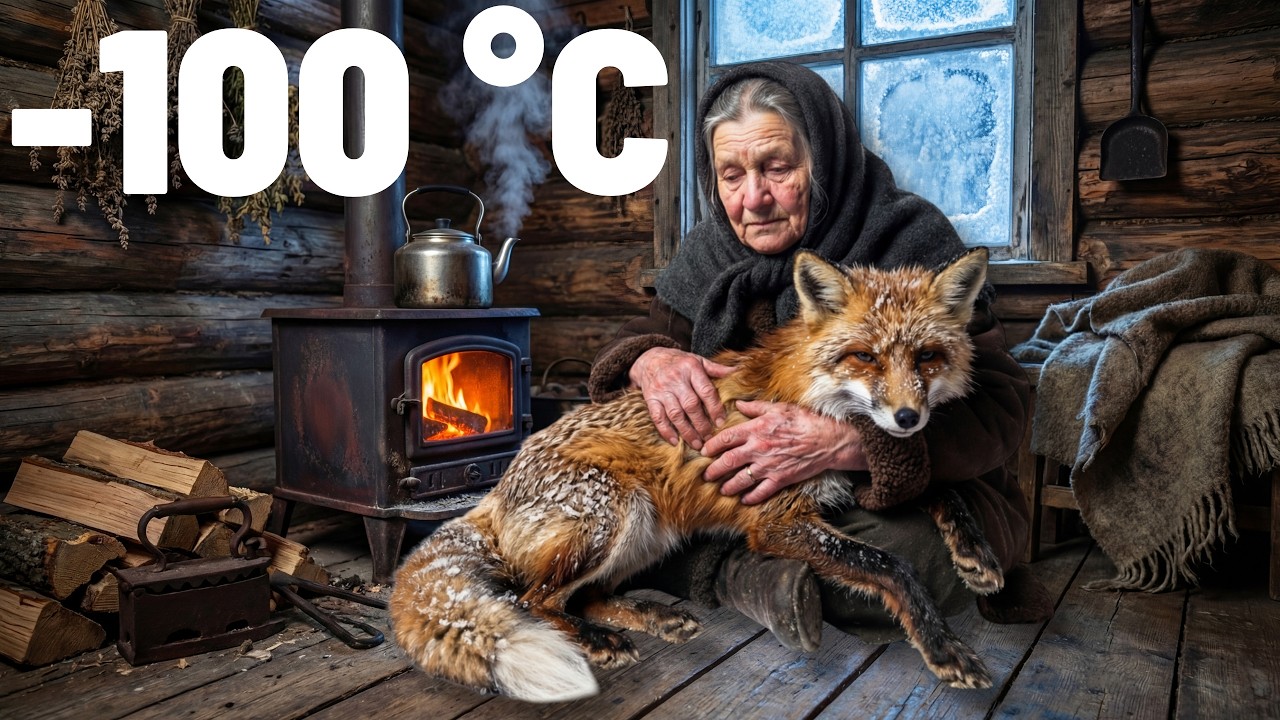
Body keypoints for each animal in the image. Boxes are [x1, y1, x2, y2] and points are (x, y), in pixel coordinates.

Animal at [389, 247, 1002, 703]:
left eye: (927, 358)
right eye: (865, 357)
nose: (908, 419)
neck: (813, 400)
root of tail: (496, 491)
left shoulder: (853, 478)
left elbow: (941, 489)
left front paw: (976, 555)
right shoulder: (777, 520)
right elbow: (891, 565)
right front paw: (944, 649)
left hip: (645, 536)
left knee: (581, 597)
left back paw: (652, 618)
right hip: (610, 516)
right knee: (532, 600)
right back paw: (601, 638)